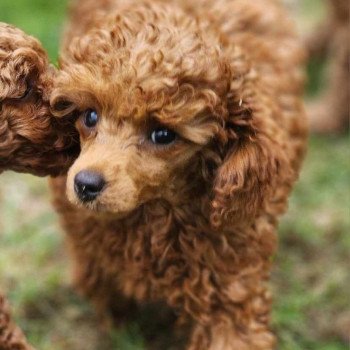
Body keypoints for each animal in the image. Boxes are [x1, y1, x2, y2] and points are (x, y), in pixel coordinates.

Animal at [50, 1, 308, 348]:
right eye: (90, 116)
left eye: (163, 135)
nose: (85, 184)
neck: (155, 213)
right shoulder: (90, 250)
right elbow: (105, 291)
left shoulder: (229, 272)